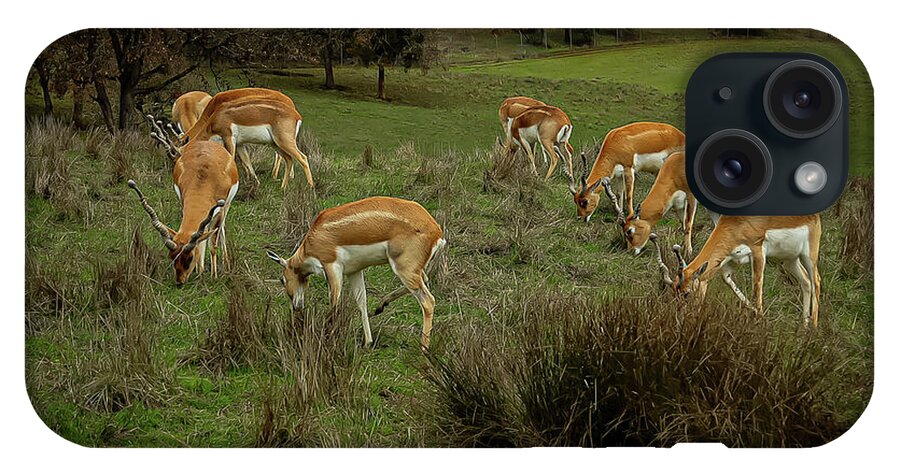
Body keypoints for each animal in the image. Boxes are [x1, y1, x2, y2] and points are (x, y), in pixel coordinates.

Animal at [128, 120, 239, 285]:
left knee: (220, 230)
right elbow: (200, 238)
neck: (204, 178)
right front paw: (200, 271)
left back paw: (225, 262)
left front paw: (213, 276)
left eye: (189, 257)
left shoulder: (219, 209)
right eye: (172, 256)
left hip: (227, 206)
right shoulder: (184, 202)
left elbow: (212, 243)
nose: (180, 282)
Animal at [179, 88, 312, 190]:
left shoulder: (229, 138)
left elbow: (231, 159)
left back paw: (310, 187)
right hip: (275, 143)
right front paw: (255, 182)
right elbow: (246, 161)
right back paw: (283, 186)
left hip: (283, 141)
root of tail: (296, 115)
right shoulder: (240, 144)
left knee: (302, 157)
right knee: (288, 158)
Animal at [266, 196, 446, 350]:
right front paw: (368, 342)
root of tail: (437, 231)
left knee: (428, 301)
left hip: (403, 269)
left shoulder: (332, 267)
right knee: (424, 280)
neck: (313, 238)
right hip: (412, 270)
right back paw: (380, 306)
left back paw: (423, 348)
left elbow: (334, 303)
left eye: (282, 280)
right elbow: (361, 302)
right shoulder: (354, 271)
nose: (296, 306)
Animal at [650, 214, 822, 327]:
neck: (738, 222)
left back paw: (813, 328)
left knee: (816, 281)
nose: (680, 318)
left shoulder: (758, 252)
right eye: (673, 292)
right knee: (806, 281)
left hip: (809, 256)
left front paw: (760, 319)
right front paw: (754, 312)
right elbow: (728, 281)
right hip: (789, 260)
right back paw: (804, 326)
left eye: (687, 293)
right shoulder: (730, 259)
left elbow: (757, 286)